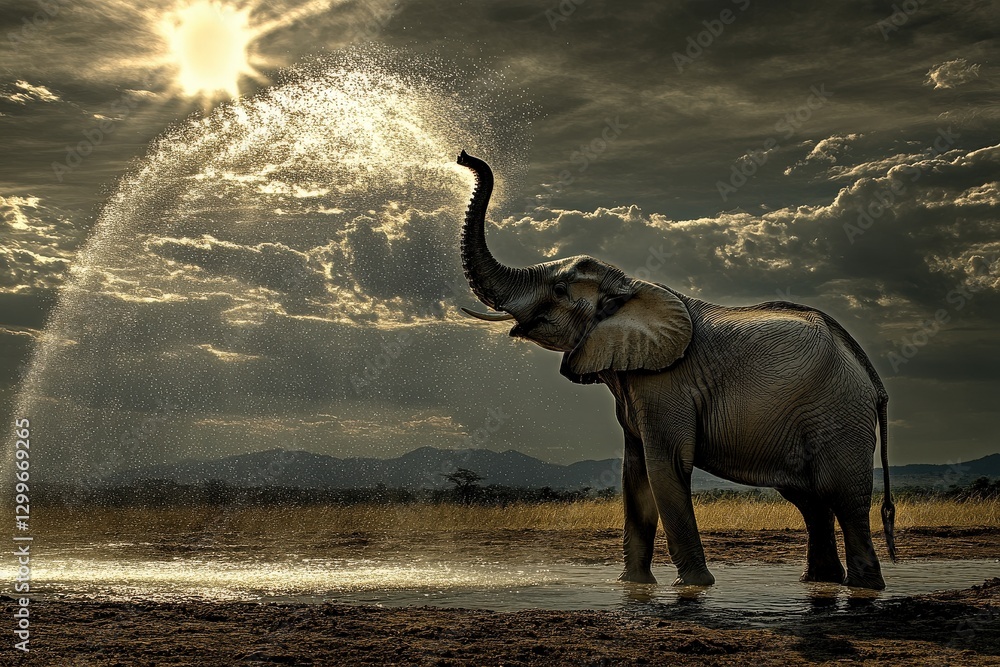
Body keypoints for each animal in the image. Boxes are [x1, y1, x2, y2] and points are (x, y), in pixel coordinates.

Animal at [454, 150, 897, 590]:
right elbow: (634, 477)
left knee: (843, 496)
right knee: (809, 500)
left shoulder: (666, 384)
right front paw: (633, 587)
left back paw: (864, 588)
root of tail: (867, 370)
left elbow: (664, 468)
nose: (463, 156)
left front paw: (695, 587)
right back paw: (820, 582)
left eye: (560, 290)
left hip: (838, 413)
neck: (631, 286)